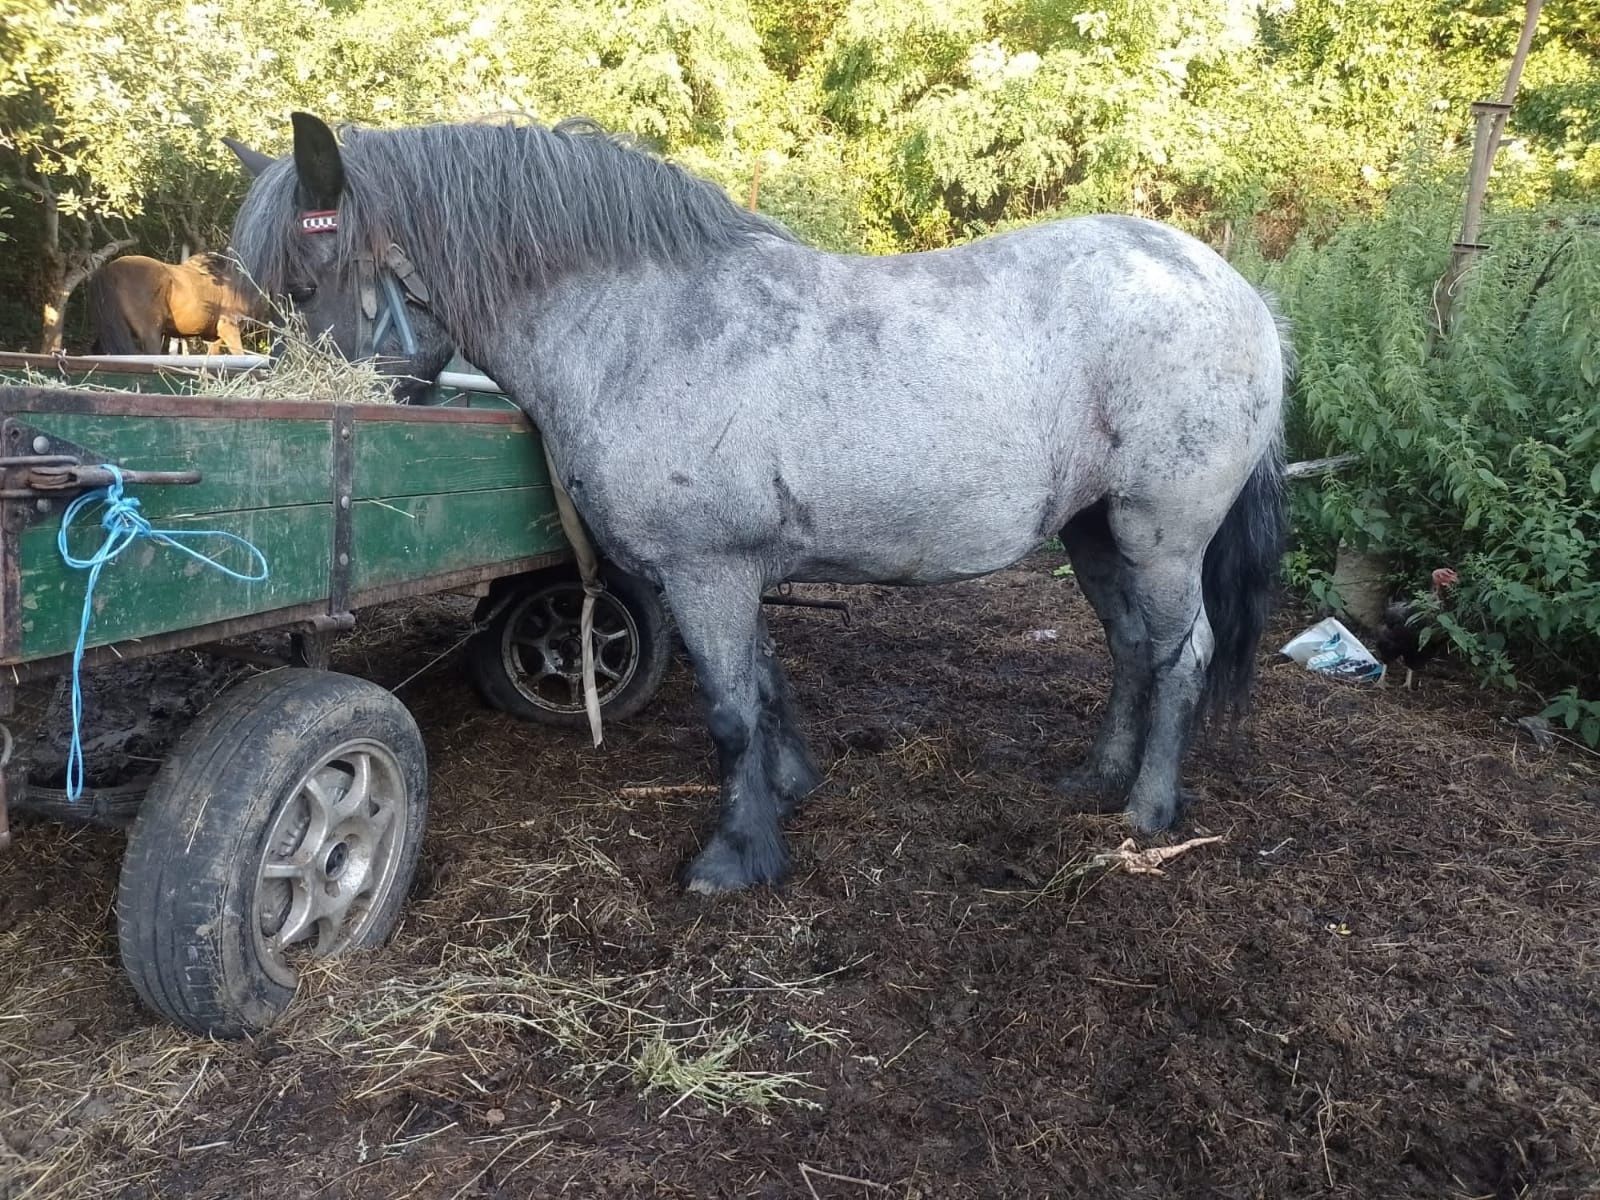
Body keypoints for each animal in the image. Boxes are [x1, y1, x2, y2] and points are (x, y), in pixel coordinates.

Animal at [233, 117, 1286, 896]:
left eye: (305, 279)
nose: (285, 405)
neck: (641, 327)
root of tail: (1237, 292)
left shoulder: (706, 571)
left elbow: (731, 710)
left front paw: (736, 857)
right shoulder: (734, 570)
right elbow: (766, 684)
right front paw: (792, 791)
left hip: (1160, 536)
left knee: (1182, 656)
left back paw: (1147, 812)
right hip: (1094, 532)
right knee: (1131, 650)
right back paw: (1098, 778)